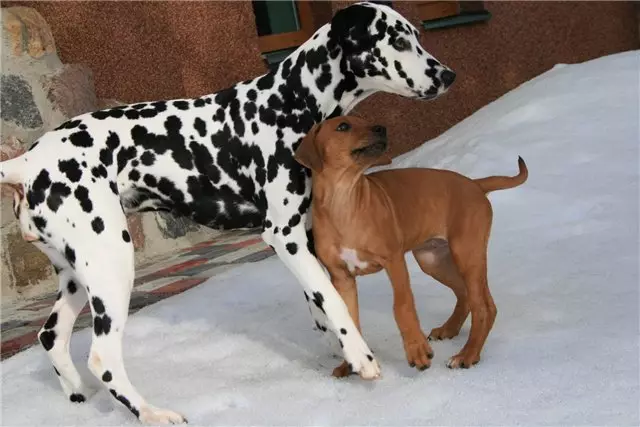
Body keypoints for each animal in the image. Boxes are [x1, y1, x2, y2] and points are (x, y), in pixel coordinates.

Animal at [2, 2, 458, 424]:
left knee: (51, 336)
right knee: (103, 358)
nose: (448, 76)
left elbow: (319, 303)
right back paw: (151, 412)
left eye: (416, 35)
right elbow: (332, 299)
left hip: (79, 276)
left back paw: (79, 397)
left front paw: (341, 350)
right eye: (397, 40)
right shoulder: (285, 236)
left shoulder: (307, 236)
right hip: (112, 266)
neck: (290, 101)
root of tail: (28, 160)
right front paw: (361, 357)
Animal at [292, 115, 528, 376]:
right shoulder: (342, 277)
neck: (343, 200)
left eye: (364, 120)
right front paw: (353, 362)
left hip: (466, 253)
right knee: (465, 293)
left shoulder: (394, 260)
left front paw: (417, 351)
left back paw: (467, 355)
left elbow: (402, 305)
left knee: (484, 307)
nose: (381, 128)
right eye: (343, 126)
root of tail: (475, 184)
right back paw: (449, 329)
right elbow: (349, 320)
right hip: (432, 260)